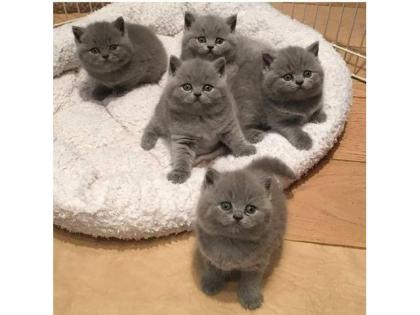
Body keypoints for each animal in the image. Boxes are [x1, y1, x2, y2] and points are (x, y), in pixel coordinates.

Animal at [195, 157, 294, 310]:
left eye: (250, 209)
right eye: (226, 206)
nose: (238, 216)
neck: (230, 242)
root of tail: (255, 169)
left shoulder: (257, 263)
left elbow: (250, 282)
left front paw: (250, 298)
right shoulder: (208, 256)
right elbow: (213, 270)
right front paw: (211, 284)